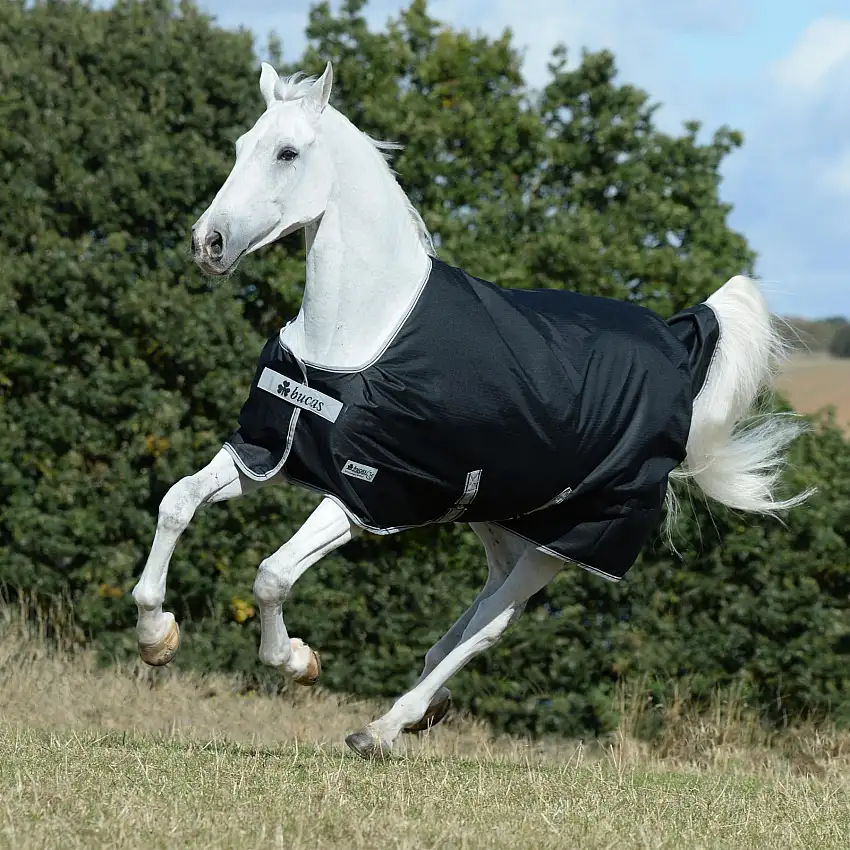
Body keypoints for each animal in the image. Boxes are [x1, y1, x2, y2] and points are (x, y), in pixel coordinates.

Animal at [131, 62, 812, 760]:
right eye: (243, 145)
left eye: (287, 153)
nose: (208, 243)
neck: (358, 332)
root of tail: (680, 349)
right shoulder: (268, 452)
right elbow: (177, 502)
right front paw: (158, 637)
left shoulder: (362, 496)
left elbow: (271, 575)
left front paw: (296, 661)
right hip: (497, 519)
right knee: (479, 612)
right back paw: (426, 707)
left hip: (562, 544)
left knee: (492, 624)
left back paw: (385, 727)